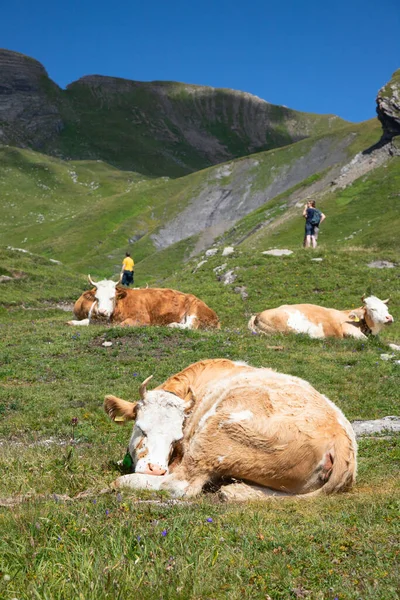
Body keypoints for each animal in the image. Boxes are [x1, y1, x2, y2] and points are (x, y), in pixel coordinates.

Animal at [67, 276, 220, 330]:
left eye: (112, 297)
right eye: (97, 298)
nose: (102, 312)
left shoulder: (141, 318)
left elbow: (122, 325)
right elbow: (85, 321)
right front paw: (72, 322)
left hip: (194, 309)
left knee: (191, 326)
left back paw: (171, 325)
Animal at [103, 358, 356, 500]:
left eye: (176, 439)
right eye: (140, 428)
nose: (155, 470)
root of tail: (341, 438)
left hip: (216, 435)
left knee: (180, 484)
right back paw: (234, 492)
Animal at [248, 296, 392, 340]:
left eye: (386, 308)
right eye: (372, 309)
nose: (389, 318)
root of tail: (257, 315)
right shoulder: (348, 330)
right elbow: (365, 340)